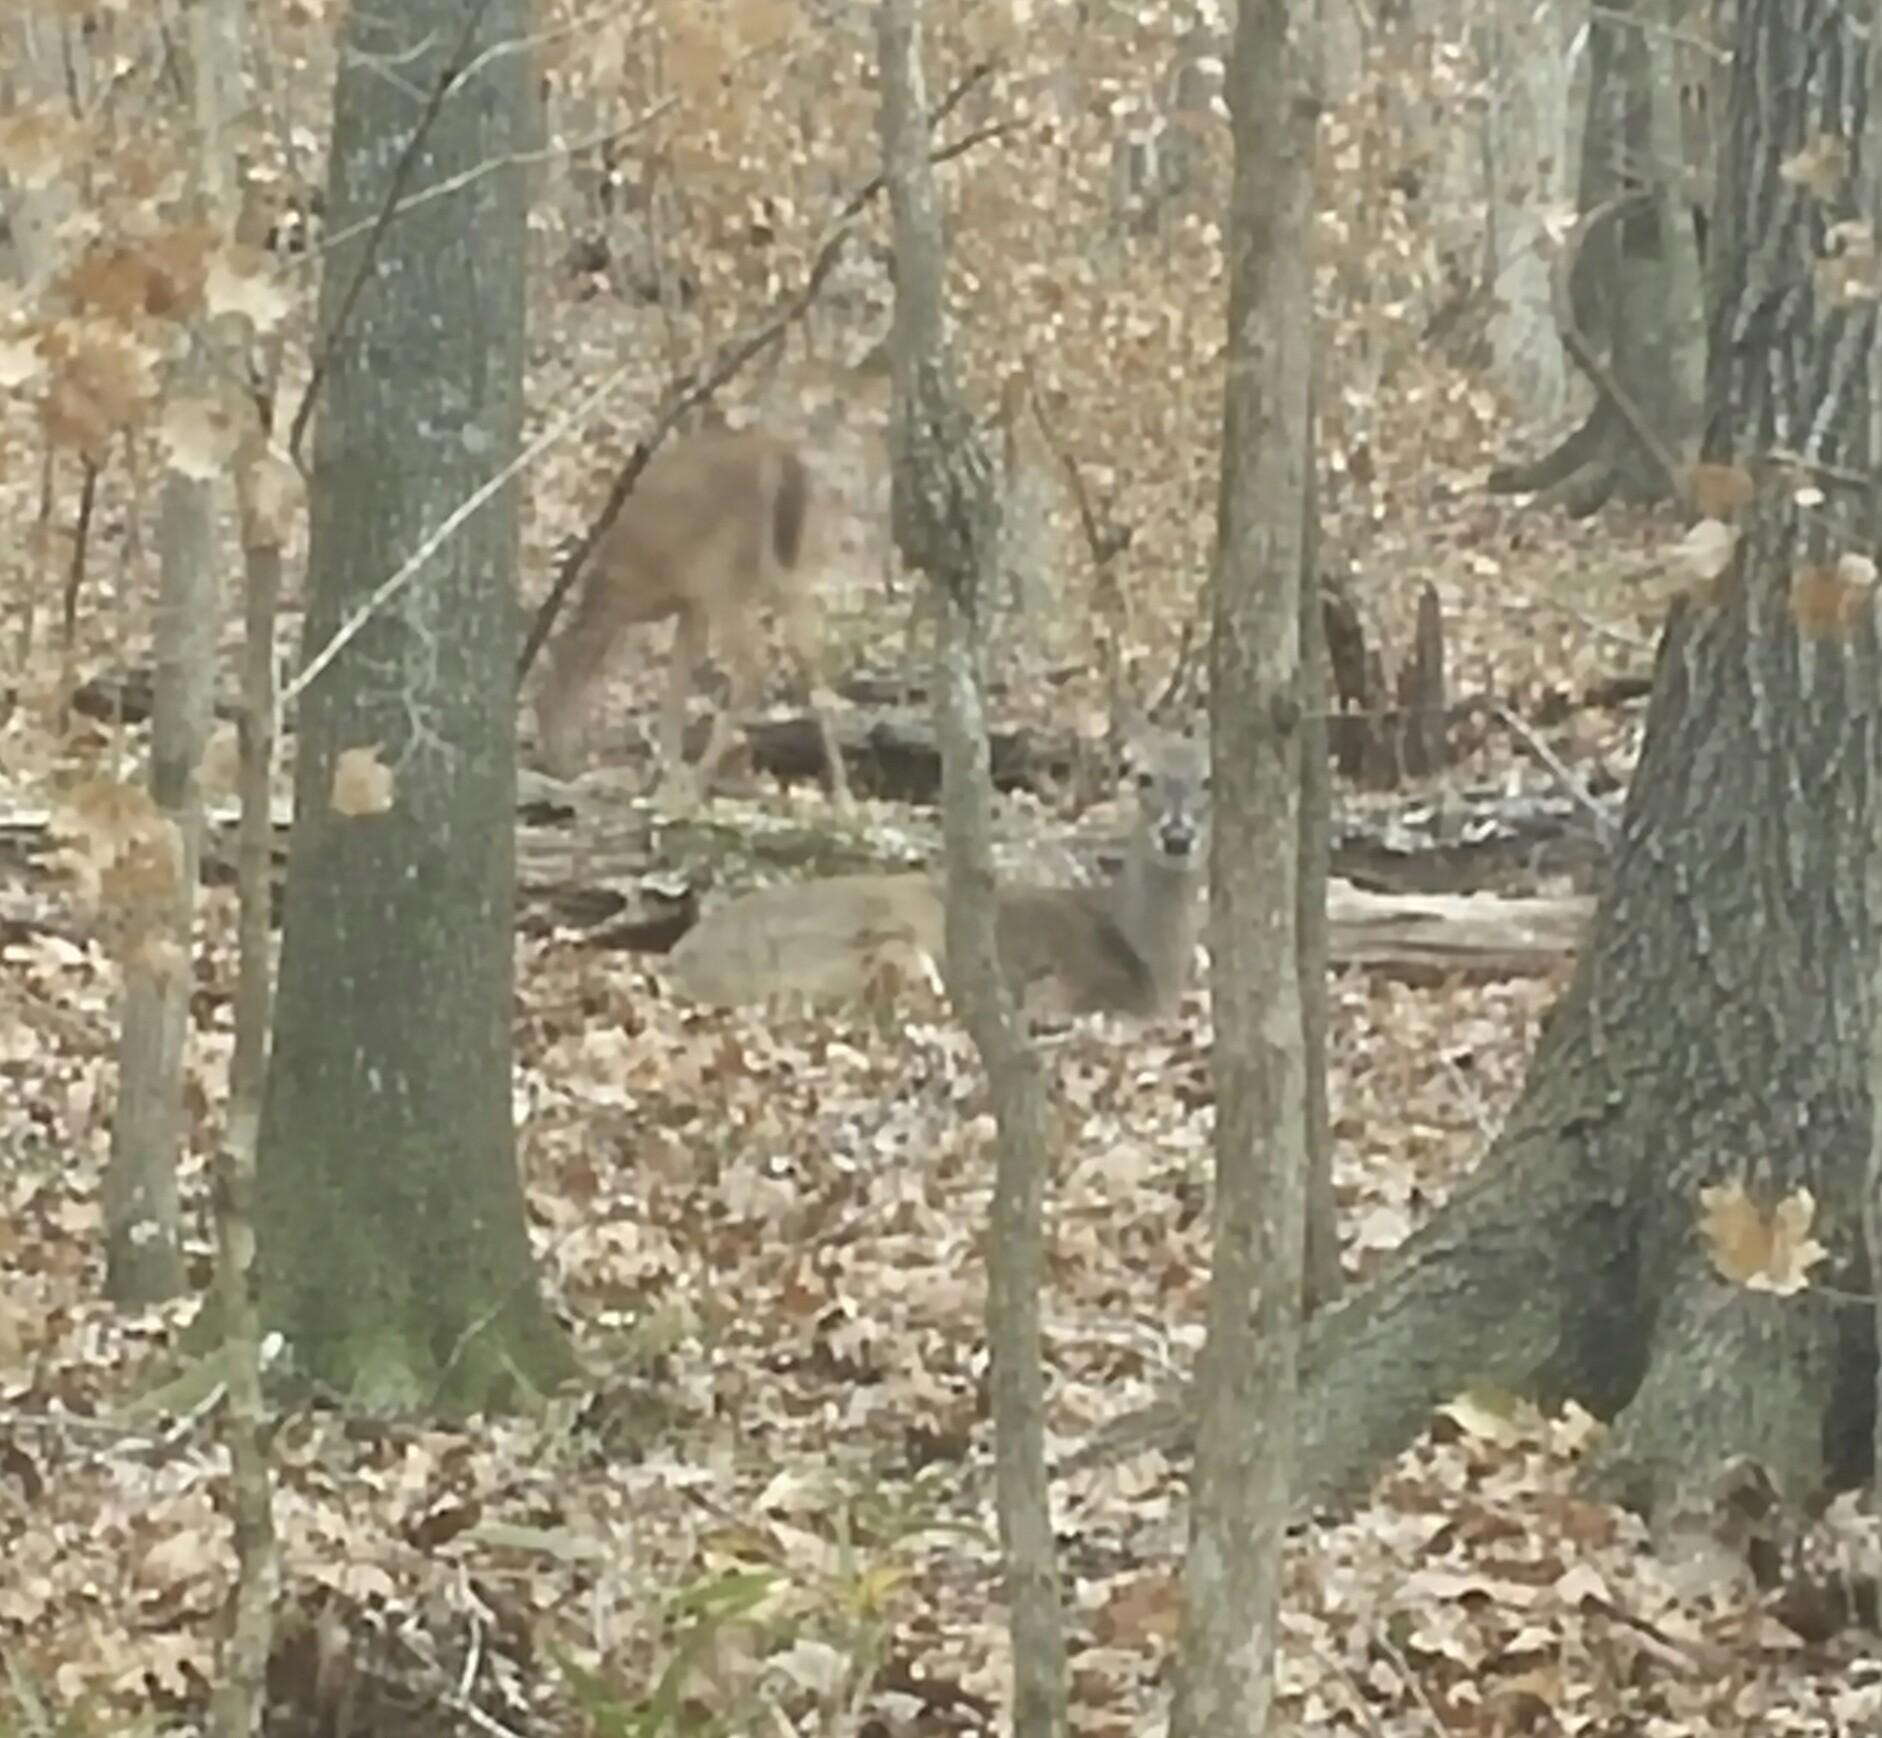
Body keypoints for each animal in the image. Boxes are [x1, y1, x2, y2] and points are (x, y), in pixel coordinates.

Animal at [533, 428, 851, 806]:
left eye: (543, 707)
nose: (557, 764)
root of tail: (780, 458)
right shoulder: (691, 605)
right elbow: (677, 686)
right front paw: (662, 776)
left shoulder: (669, 592)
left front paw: (667, 781)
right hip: (791, 568)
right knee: (811, 659)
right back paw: (844, 794)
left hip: (725, 575)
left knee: (754, 665)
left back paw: (698, 783)